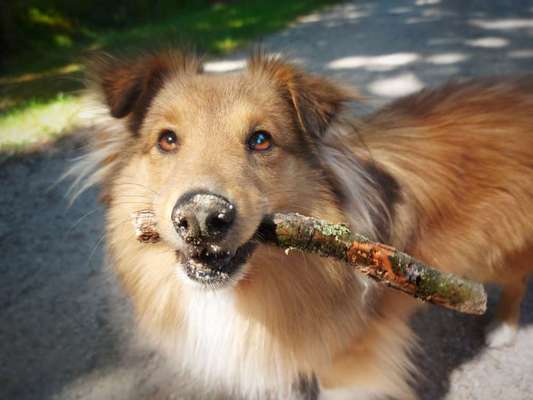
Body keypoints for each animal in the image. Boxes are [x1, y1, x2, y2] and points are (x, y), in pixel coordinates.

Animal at [70, 50, 532, 400]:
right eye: (167, 139)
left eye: (261, 140)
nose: (201, 218)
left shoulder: (351, 358)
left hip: (500, 248)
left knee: (516, 279)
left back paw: (503, 329)